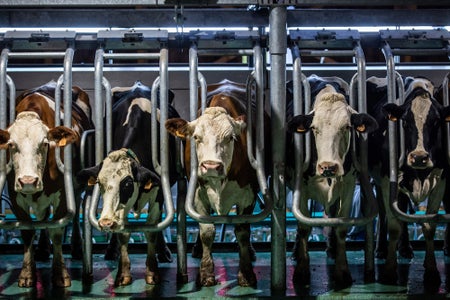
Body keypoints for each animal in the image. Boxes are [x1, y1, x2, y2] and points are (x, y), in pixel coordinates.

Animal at [0, 80, 93, 288]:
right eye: (11, 145)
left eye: (44, 143)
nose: (28, 181)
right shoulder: (14, 195)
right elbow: (27, 230)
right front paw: (27, 273)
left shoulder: (63, 193)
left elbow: (57, 230)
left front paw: (60, 274)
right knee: (43, 216)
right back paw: (42, 249)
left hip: (77, 186)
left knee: (74, 210)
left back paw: (76, 246)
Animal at [76, 81, 178, 286]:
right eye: (100, 183)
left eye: (128, 184)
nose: (106, 222)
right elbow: (123, 233)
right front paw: (122, 273)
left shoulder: (159, 192)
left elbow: (152, 229)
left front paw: (152, 271)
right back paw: (111, 251)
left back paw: (164, 252)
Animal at [165, 78, 266, 288]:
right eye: (196, 137)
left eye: (231, 137)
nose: (211, 166)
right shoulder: (197, 193)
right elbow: (206, 230)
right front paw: (205, 273)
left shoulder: (248, 194)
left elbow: (243, 231)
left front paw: (246, 273)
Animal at [286, 74, 378, 288]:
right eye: (314, 128)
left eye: (346, 127)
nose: (328, 166)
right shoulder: (301, 187)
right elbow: (304, 226)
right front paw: (301, 272)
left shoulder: (348, 183)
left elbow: (341, 226)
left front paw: (342, 272)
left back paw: (332, 249)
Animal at [366, 74, 450, 290]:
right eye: (404, 121)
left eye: (436, 122)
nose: (419, 157)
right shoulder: (387, 179)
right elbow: (394, 224)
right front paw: (389, 271)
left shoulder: (441, 179)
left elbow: (429, 225)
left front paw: (431, 272)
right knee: (383, 212)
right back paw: (381, 249)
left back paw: (405, 248)